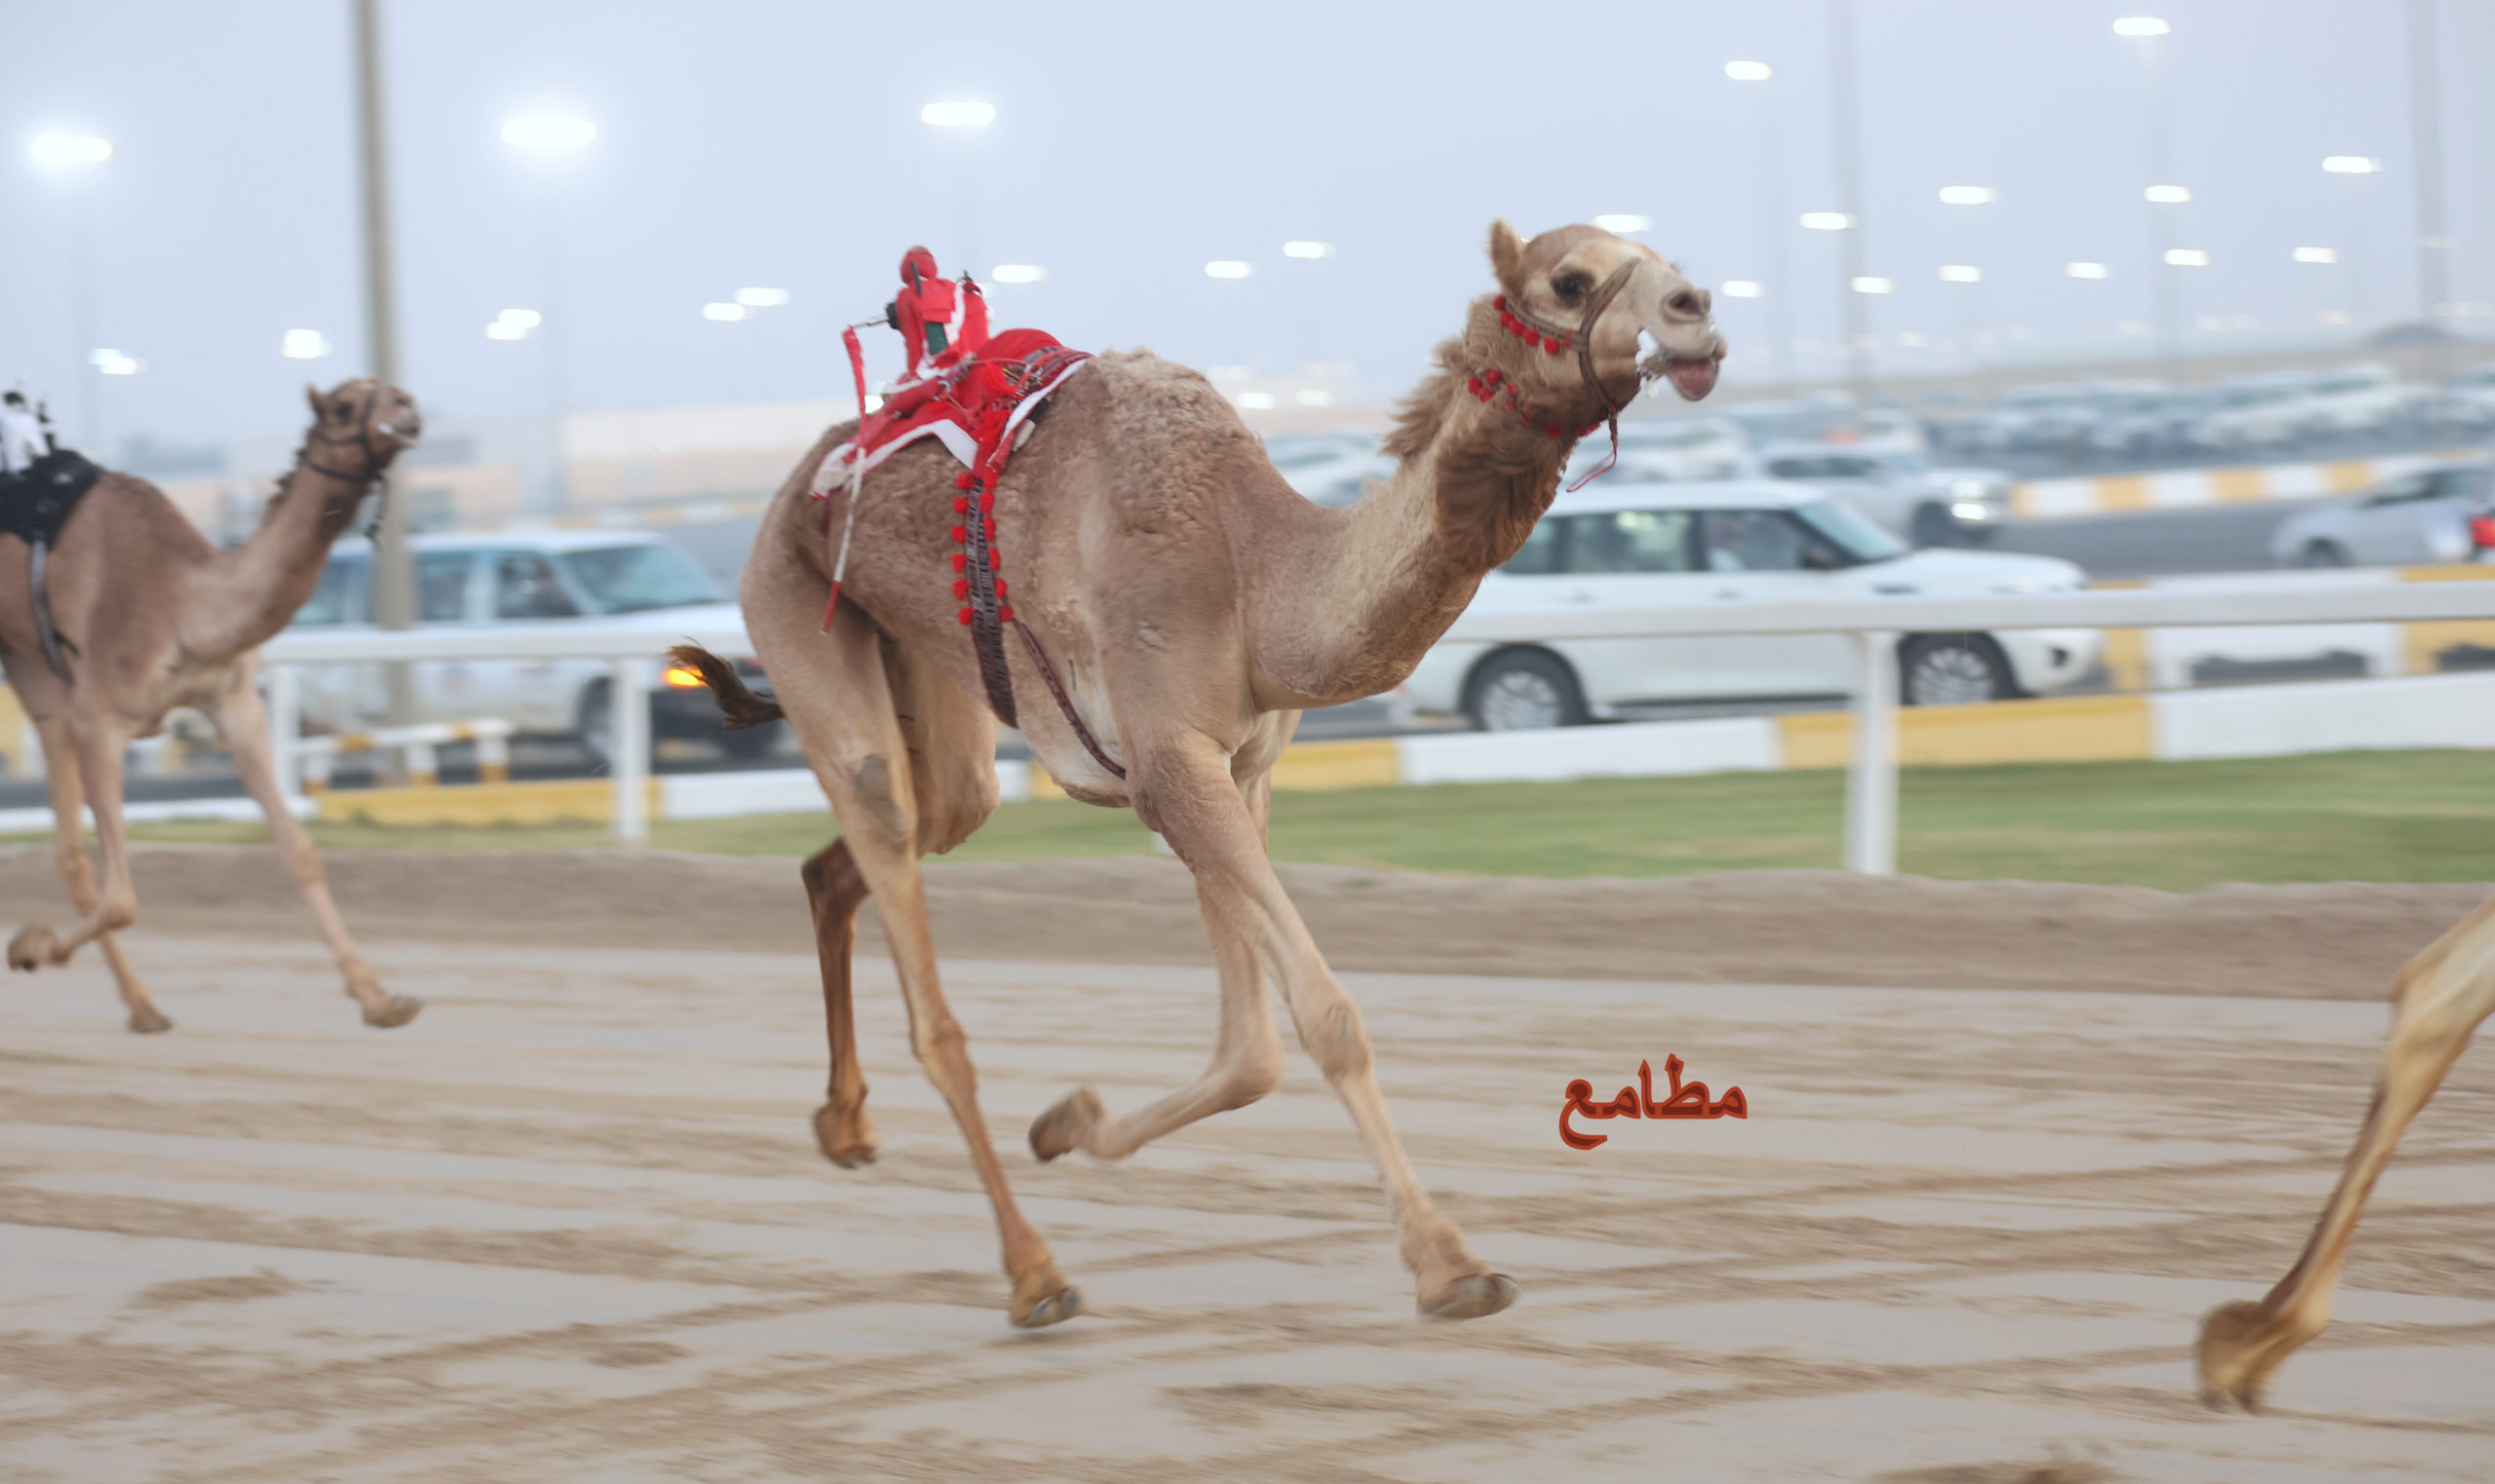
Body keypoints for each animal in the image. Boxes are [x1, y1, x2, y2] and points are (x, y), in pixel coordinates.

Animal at [2, 379, 421, 1032]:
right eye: (345, 407)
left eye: (395, 393)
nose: (408, 410)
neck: (184, 603)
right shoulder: (98, 718)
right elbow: (122, 897)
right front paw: (29, 945)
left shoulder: (233, 701)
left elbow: (301, 852)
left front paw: (379, 998)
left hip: (33, 675)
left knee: (68, 854)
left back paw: (143, 1006)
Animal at [678, 217, 1736, 1326]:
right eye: (1570, 280)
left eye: (1659, 257)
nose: (1696, 310)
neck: (1250, 565)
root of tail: (796, 484)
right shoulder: (1170, 762)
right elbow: (1324, 1017)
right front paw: (1452, 1266)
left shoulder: (1235, 763)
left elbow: (1252, 1049)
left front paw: (1068, 1120)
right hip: (795, 614)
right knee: (919, 957)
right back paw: (1034, 1273)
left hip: (942, 702)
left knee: (875, 843)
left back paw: (844, 1124)